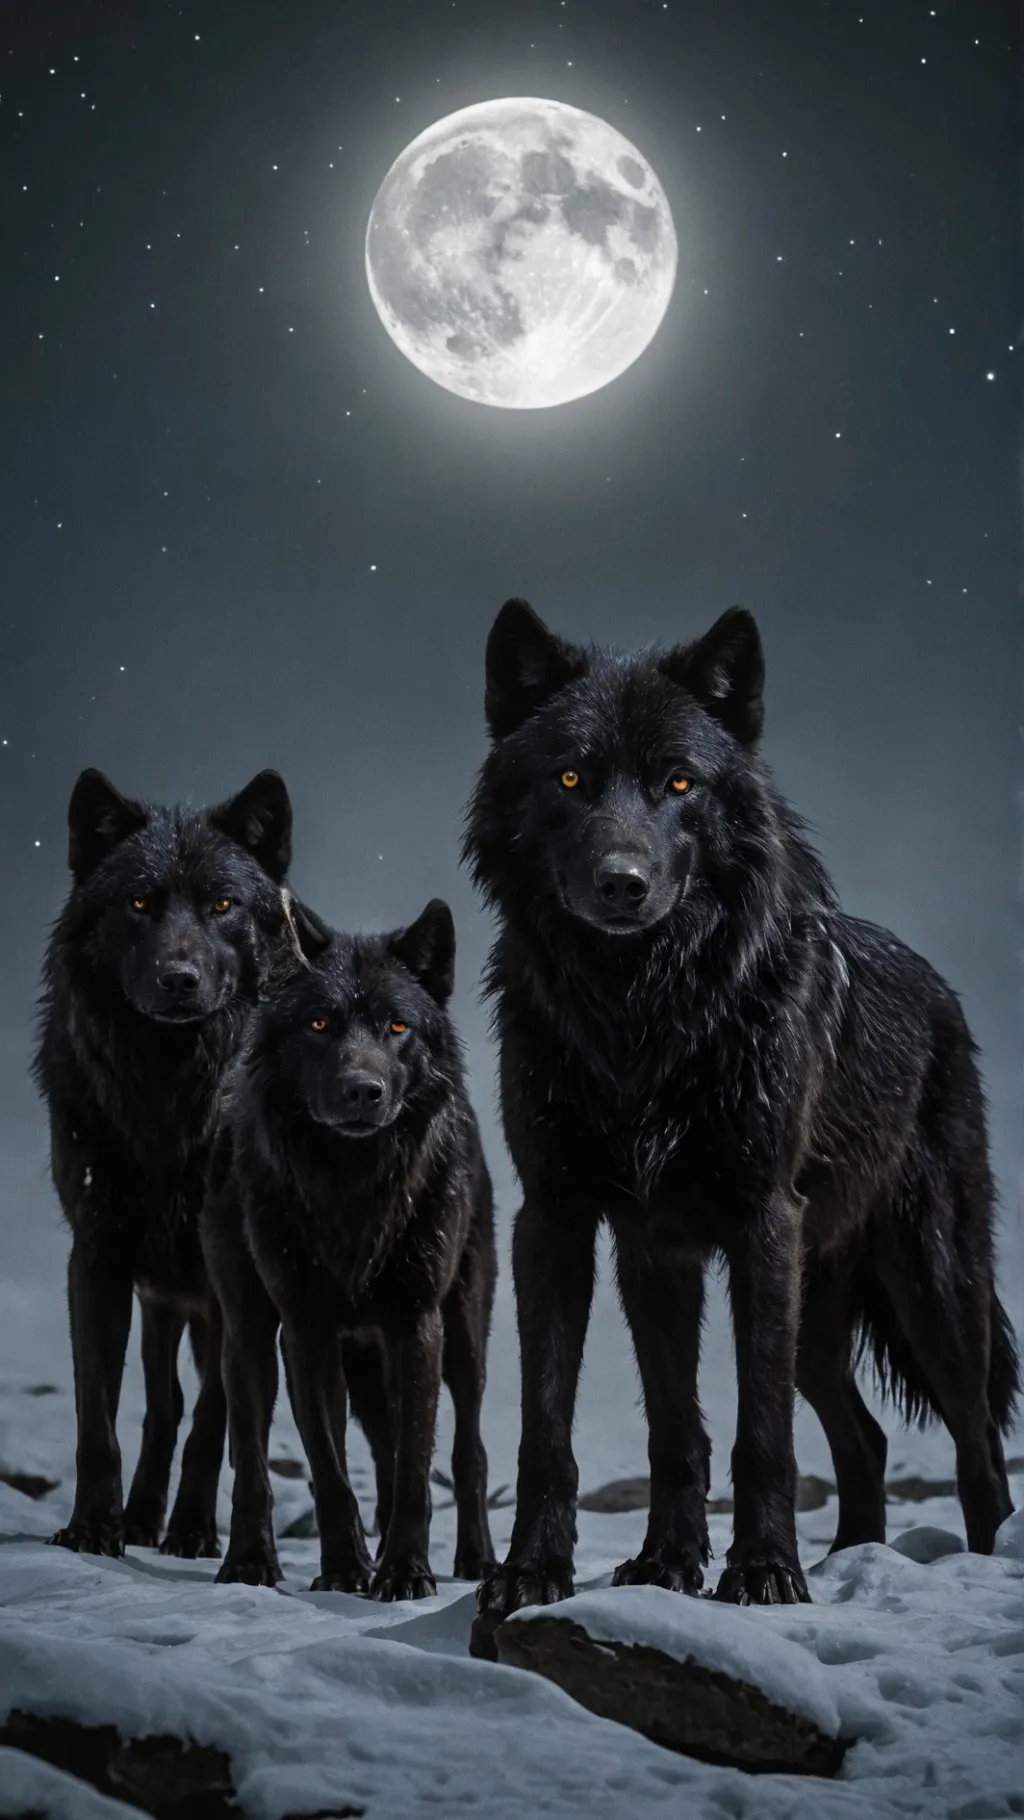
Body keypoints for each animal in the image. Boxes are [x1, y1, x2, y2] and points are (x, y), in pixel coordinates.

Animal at [35, 765, 293, 1557]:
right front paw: (94, 1527)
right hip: (159, 1300)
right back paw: (141, 1514)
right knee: (161, 1401)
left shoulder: (229, 1284)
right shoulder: (96, 1257)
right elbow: (97, 1414)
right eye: (140, 902)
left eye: (222, 905)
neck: (171, 1098)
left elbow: (216, 1419)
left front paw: (194, 1530)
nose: (180, 977)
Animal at [203, 897, 497, 1598]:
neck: (352, 1190)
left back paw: (475, 1561)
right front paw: (344, 1569)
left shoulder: (416, 1324)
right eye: (319, 1023)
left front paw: (405, 1573)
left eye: (397, 1026)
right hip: (254, 1336)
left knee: (466, 1452)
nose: (364, 1090)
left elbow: (416, 1469)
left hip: (462, 1336)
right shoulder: (304, 1330)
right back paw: (250, 1561)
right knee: (253, 1452)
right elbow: (327, 1467)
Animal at [465, 597, 1018, 1635]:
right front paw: (587, 1570)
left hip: (929, 1287)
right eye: (571, 777)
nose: (623, 882)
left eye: (679, 781)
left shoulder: (761, 1223)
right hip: (818, 1319)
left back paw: (973, 1565)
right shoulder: (586, 1228)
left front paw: (762, 1574)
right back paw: (851, 1561)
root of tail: (942, 993)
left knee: (977, 1442)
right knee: (867, 1440)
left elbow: (758, 1434)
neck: (641, 1018)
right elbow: (602, 1427)